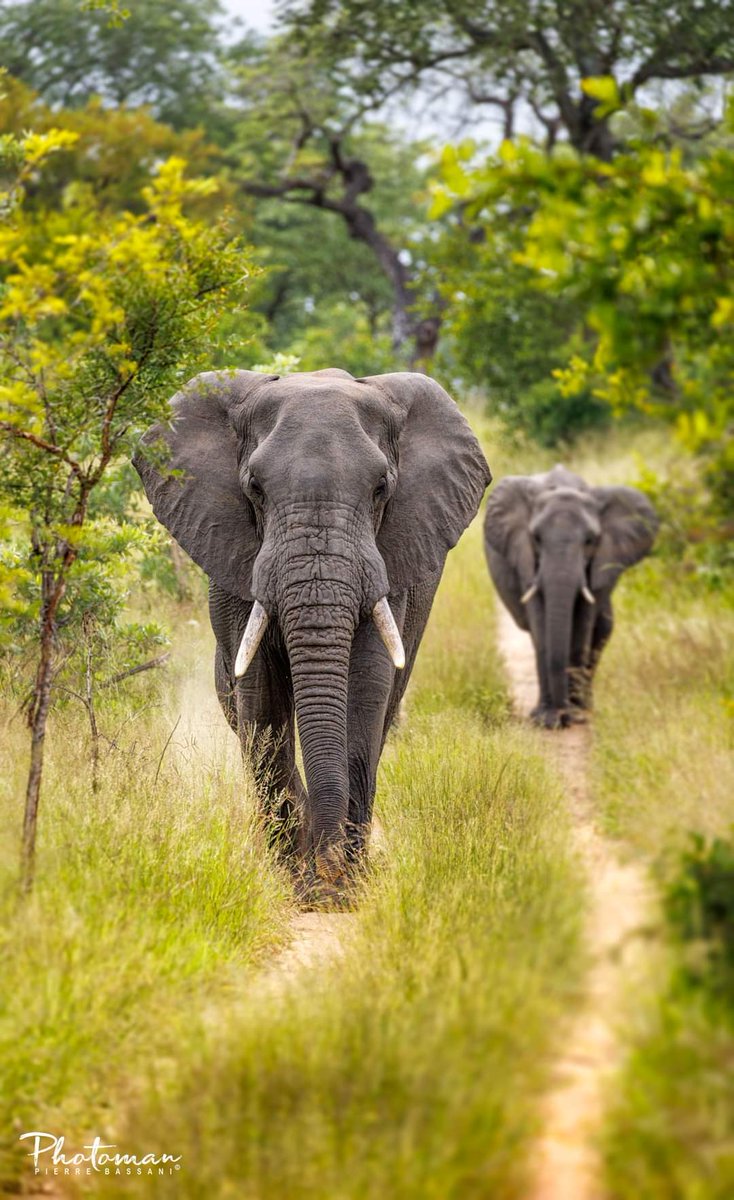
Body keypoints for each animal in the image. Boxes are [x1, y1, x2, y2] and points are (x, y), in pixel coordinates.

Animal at [134, 368, 490, 899]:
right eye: (255, 488)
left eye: (381, 488)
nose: (328, 871)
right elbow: (261, 700)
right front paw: (298, 882)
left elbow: (364, 690)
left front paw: (342, 888)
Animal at [484, 465, 658, 728]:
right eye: (536, 538)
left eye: (590, 541)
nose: (562, 715)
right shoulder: (526, 560)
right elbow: (541, 629)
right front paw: (545, 719)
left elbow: (582, 627)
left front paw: (575, 715)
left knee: (602, 630)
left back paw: (586, 707)